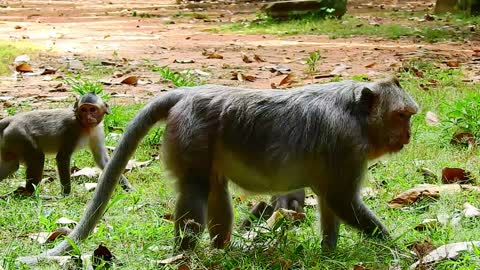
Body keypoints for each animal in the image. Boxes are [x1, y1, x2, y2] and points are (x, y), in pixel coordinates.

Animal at [0, 92, 132, 194]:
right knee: (37, 157)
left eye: (92, 109)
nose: (88, 117)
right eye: (83, 110)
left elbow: (103, 161)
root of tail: (12, 119)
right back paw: (30, 192)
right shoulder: (72, 129)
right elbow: (62, 157)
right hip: (19, 135)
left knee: (12, 165)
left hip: (11, 140)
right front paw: (66, 194)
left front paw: (128, 188)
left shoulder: (97, 130)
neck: (85, 127)